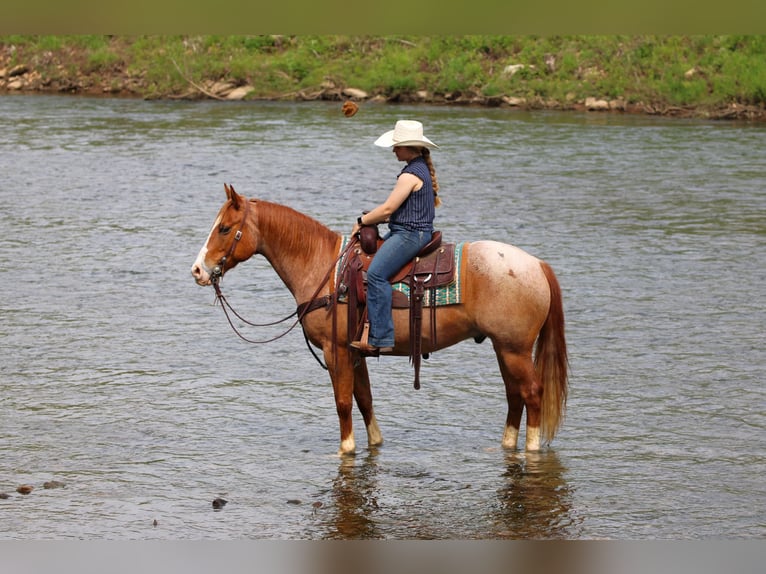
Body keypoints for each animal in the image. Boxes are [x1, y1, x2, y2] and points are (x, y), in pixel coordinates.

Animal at [191, 184, 568, 456]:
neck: (323, 266)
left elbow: (343, 402)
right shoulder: (355, 351)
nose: (197, 270)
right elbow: (364, 399)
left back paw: (531, 448)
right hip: (504, 348)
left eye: (224, 228)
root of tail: (537, 265)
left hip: (514, 349)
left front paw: (345, 449)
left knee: (532, 393)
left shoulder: (336, 350)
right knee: (514, 395)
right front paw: (373, 443)